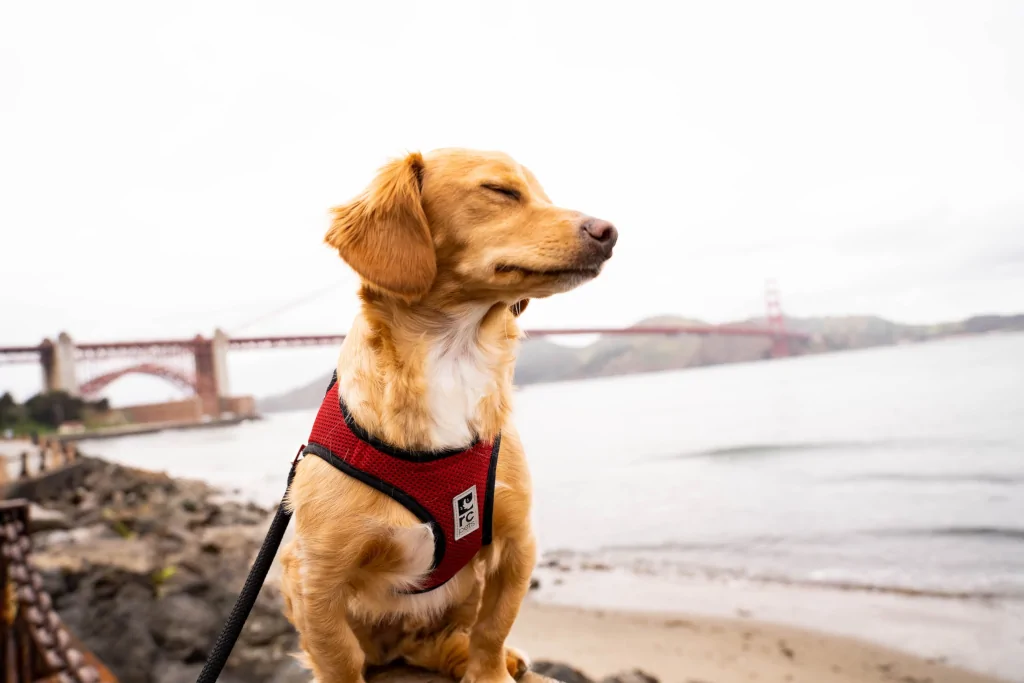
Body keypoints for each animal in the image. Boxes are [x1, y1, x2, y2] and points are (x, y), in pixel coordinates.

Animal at [278, 149, 614, 683]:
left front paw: (491, 672)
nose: (609, 231)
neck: (452, 356)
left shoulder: (517, 543)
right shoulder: (316, 578)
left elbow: (493, 627)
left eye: (545, 195)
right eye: (500, 191)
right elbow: (339, 659)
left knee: (449, 636)